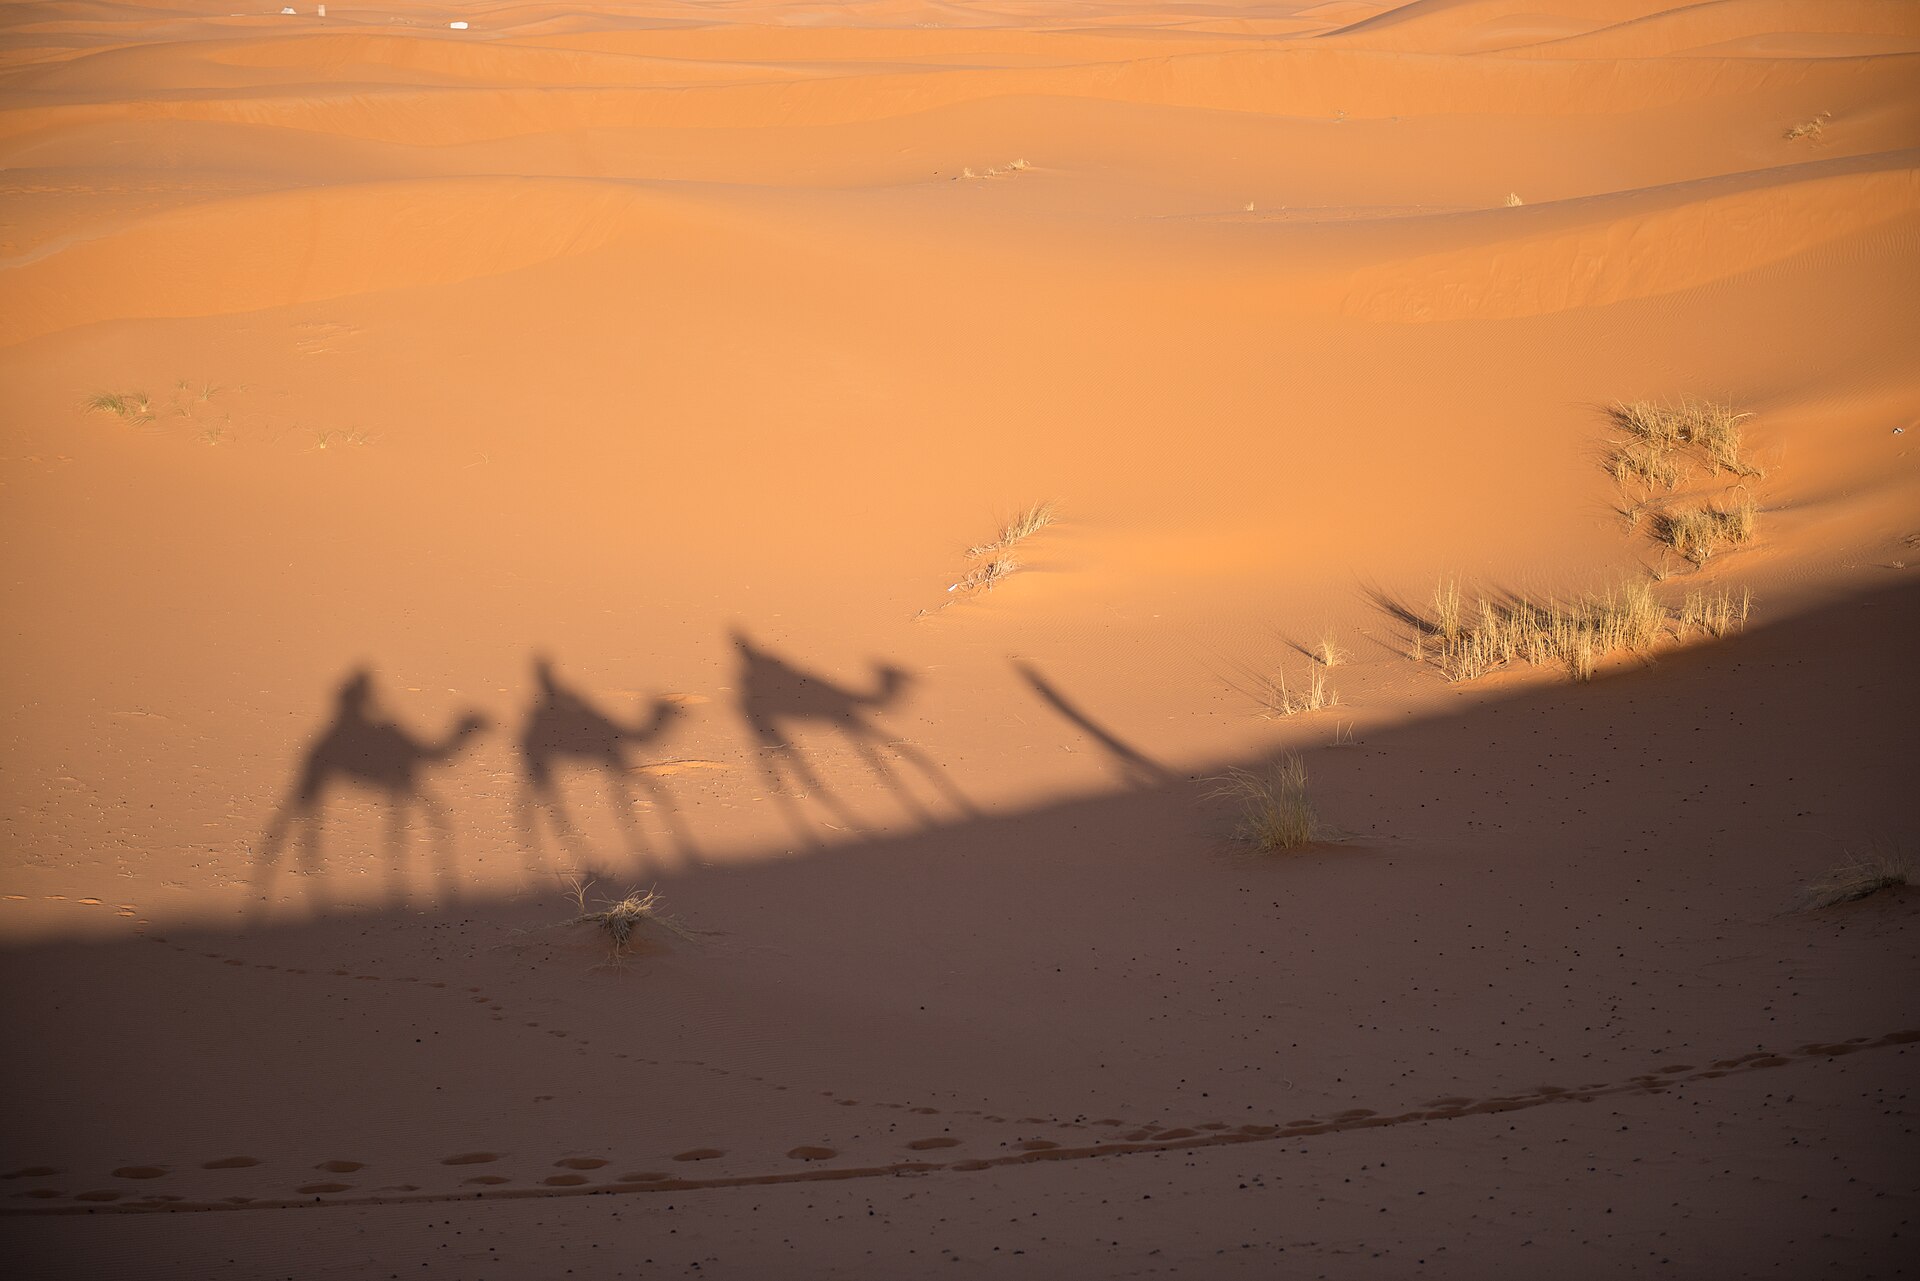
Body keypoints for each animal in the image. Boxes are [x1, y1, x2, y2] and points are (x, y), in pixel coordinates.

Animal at [256, 668, 489, 907]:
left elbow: (431, 812)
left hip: (317, 777)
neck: (421, 750)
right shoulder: (402, 780)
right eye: (478, 717)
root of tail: (308, 748)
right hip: (316, 773)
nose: (494, 724)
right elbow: (402, 827)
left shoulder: (404, 782)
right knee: (297, 815)